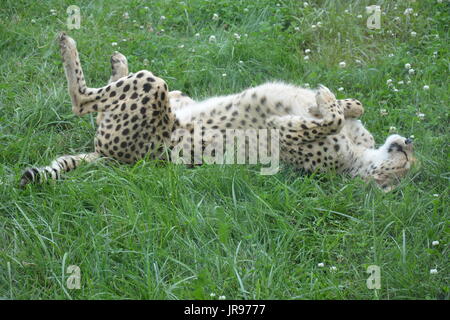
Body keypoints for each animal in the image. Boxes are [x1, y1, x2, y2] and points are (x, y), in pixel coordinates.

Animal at [20, 33, 414, 191]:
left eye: (408, 165)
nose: (409, 142)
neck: (360, 158)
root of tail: (111, 159)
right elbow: (351, 108)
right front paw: (334, 99)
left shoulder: (286, 134)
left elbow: (325, 118)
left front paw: (326, 100)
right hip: (166, 95)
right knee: (108, 98)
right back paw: (117, 60)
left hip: (150, 87)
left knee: (82, 101)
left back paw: (68, 44)